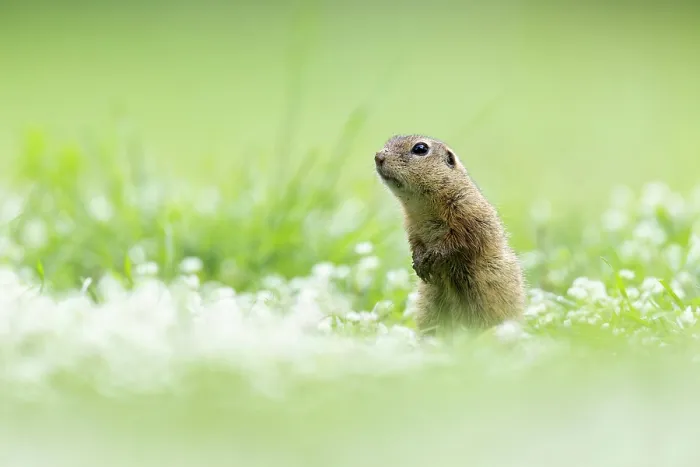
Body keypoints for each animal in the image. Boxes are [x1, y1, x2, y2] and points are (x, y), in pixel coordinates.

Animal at [375, 134, 525, 335]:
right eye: (389, 141)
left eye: (420, 148)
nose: (378, 156)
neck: (422, 206)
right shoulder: (411, 226)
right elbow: (415, 242)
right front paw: (418, 261)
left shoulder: (468, 211)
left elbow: (460, 240)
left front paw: (433, 256)